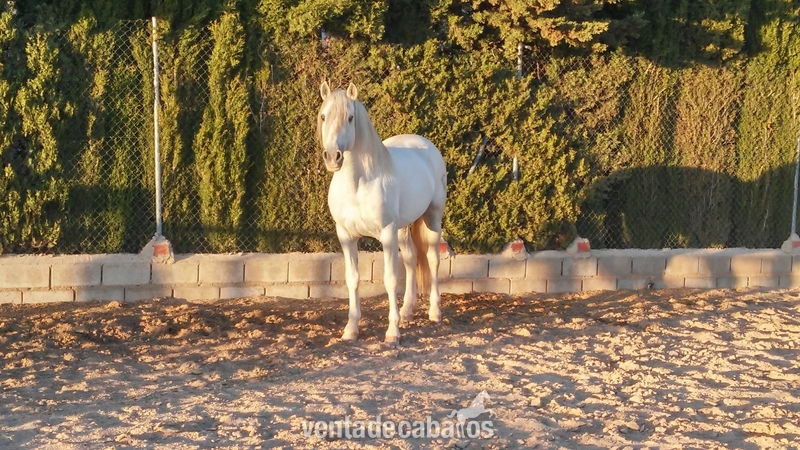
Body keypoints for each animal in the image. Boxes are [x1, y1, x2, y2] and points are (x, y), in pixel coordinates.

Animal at [317, 81, 447, 345]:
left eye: (350, 117)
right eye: (323, 116)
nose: (333, 157)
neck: (358, 184)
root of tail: (426, 145)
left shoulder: (387, 234)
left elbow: (389, 279)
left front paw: (392, 332)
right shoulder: (346, 236)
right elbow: (353, 278)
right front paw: (351, 329)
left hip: (432, 219)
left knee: (432, 260)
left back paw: (434, 312)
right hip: (404, 228)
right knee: (411, 260)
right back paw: (407, 311)